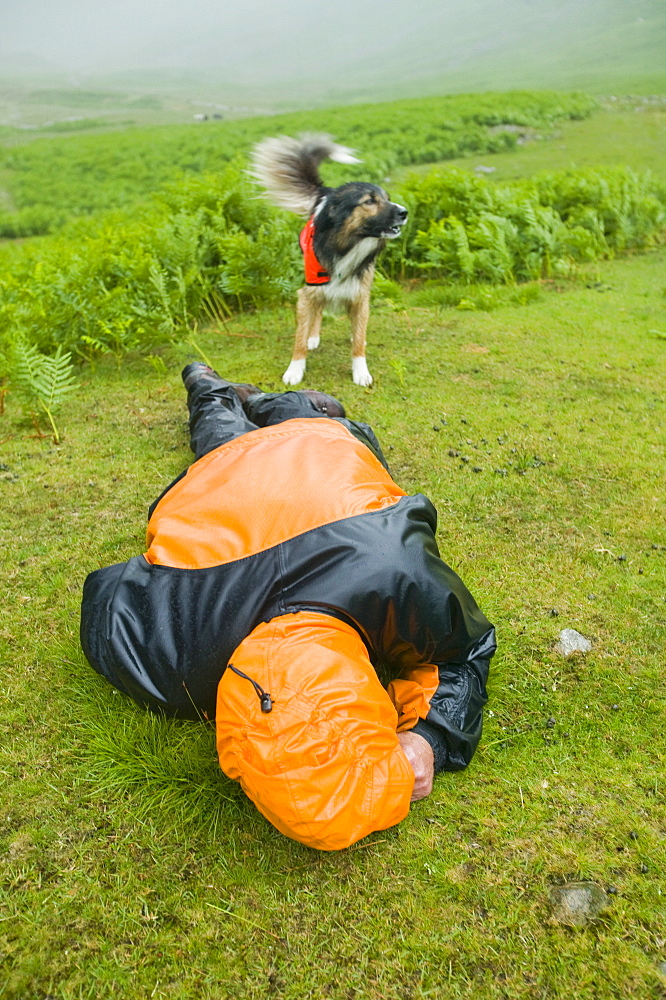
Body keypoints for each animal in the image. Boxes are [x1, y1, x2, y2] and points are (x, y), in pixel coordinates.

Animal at [249, 139, 404, 388]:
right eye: (369, 201)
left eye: (387, 198)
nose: (404, 212)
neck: (345, 246)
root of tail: (328, 191)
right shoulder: (306, 292)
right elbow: (299, 336)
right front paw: (295, 369)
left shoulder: (360, 294)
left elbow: (358, 338)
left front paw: (361, 370)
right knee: (318, 310)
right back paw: (313, 337)